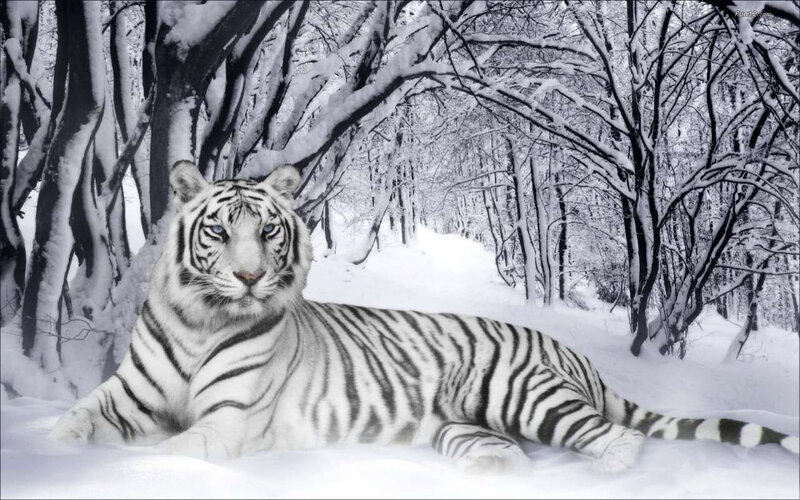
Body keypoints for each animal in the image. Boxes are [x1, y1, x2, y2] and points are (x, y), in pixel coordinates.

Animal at [49, 160, 799, 473]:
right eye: (219, 231)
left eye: (268, 232)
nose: (251, 277)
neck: (201, 320)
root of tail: (572, 352)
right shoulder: (124, 396)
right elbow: (72, 424)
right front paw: (54, 456)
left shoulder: (227, 422)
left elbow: (167, 453)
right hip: (462, 427)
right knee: (508, 455)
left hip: (522, 394)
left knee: (616, 439)